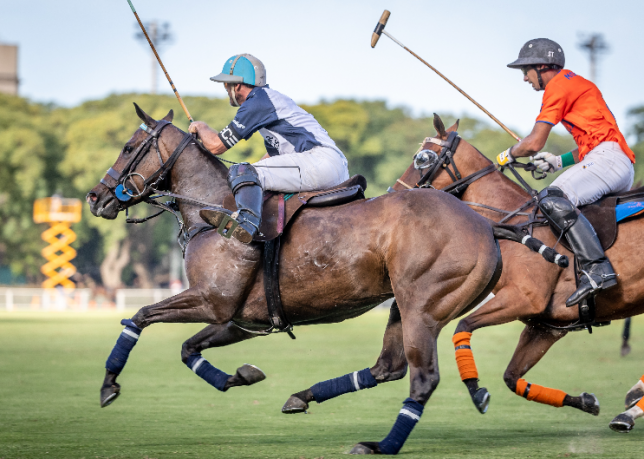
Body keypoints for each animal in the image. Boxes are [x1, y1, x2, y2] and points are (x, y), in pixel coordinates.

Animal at [85, 105, 512, 456]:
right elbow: (188, 348)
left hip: (423, 307)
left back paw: (383, 445)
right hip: (404, 308)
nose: (94, 197)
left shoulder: (210, 300)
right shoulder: (239, 317)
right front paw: (238, 376)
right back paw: (304, 398)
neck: (216, 208)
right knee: (388, 368)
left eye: (128, 146)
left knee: (422, 378)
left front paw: (108, 385)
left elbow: (139, 316)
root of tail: (486, 227)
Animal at [286, 114, 644, 424]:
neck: (514, 218)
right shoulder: (546, 324)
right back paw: (629, 406)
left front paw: (475, 390)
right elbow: (512, 377)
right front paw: (585, 400)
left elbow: (463, 327)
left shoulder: (524, 299)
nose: (392, 196)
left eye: (423, 158)